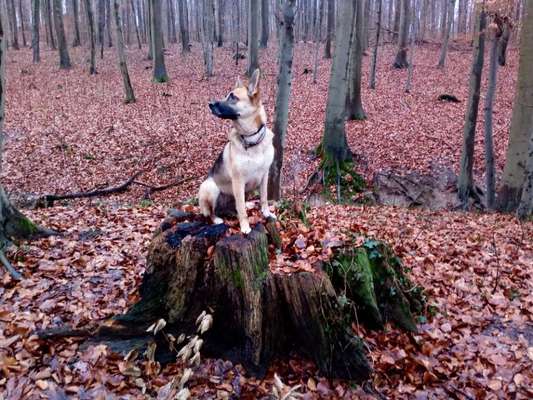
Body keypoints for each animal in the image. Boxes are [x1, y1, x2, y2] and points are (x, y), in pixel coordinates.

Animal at [197, 67, 276, 233]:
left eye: (233, 97)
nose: (210, 104)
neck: (252, 140)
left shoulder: (264, 176)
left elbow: (264, 198)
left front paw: (267, 214)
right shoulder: (238, 181)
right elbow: (241, 209)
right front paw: (245, 227)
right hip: (210, 187)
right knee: (211, 212)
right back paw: (217, 219)